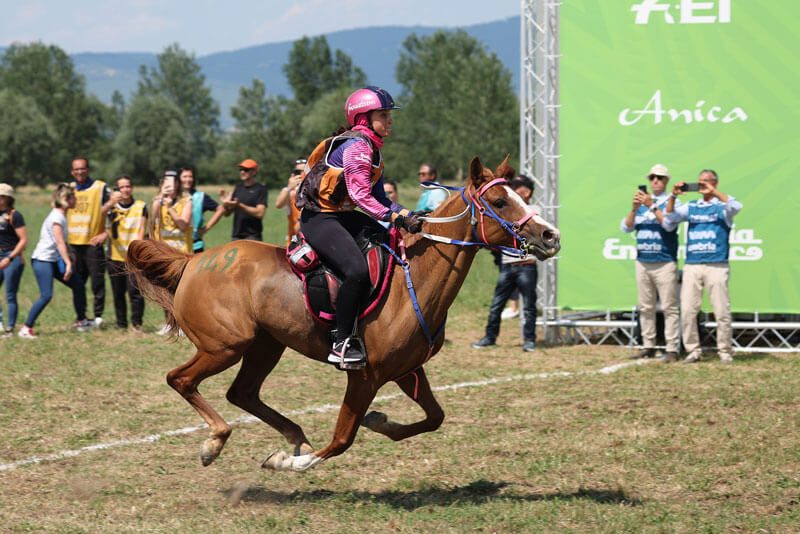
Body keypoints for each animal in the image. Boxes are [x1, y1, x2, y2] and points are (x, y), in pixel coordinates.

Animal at [126, 156, 561, 472]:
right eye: (500, 202)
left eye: (521, 196)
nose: (551, 235)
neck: (414, 280)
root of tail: (192, 261)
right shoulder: (365, 376)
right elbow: (341, 439)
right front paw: (291, 463)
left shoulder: (407, 370)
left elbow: (433, 417)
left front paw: (379, 421)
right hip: (225, 346)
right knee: (180, 379)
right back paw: (217, 441)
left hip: (266, 345)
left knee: (242, 392)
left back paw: (293, 436)